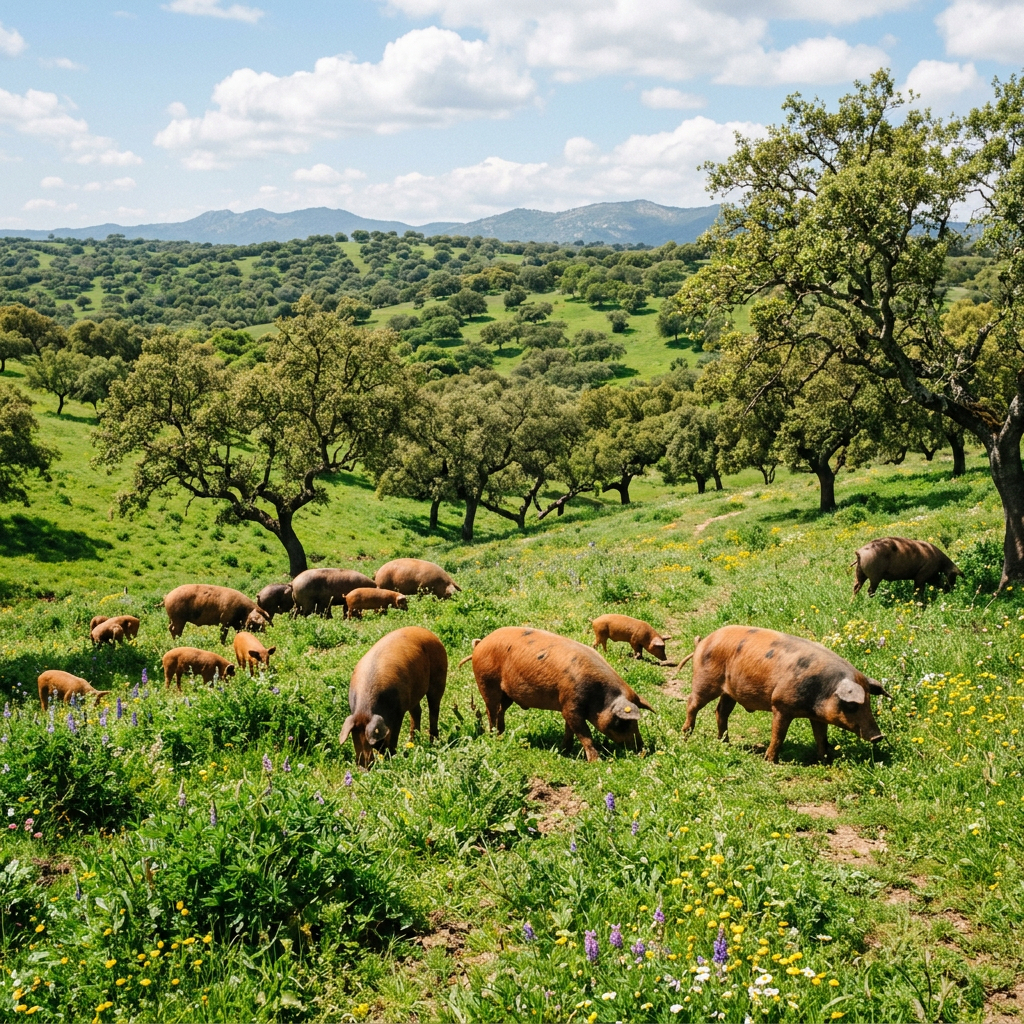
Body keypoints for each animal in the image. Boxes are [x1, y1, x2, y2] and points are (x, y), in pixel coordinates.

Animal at [339, 626, 448, 767]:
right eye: (354, 736)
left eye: (371, 741)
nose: (363, 767)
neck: (365, 710)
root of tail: (429, 633)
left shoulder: (398, 713)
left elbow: (393, 737)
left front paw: (392, 759)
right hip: (413, 694)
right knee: (417, 712)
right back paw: (412, 743)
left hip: (439, 677)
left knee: (434, 710)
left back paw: (433, 743)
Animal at [464, 626, 653, 762]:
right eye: (625, 722)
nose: (642, 748)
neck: (599, 697)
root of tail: (480, 644)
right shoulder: (571, 705)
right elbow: (585, 734)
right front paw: (596, 762)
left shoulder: (567, 706)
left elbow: (570, 730)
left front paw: (564, 750)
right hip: (487, 682)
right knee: (490, 710)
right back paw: (493, 736)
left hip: (507, 693)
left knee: (500, 711)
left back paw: (501, 734)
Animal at [679, 625, 890, 763]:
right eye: (852, 705)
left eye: (869, 702)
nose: (878, 736)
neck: (823, 691)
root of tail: (703, 641)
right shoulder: (780, 705)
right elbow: (778, 735)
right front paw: (770, 760)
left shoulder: (817, 716)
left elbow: (821, 737)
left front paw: (825, 761)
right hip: (705, 681)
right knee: (692, 703)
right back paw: (685, 735)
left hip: (729, 691)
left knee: (721, 712)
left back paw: (725, 743)